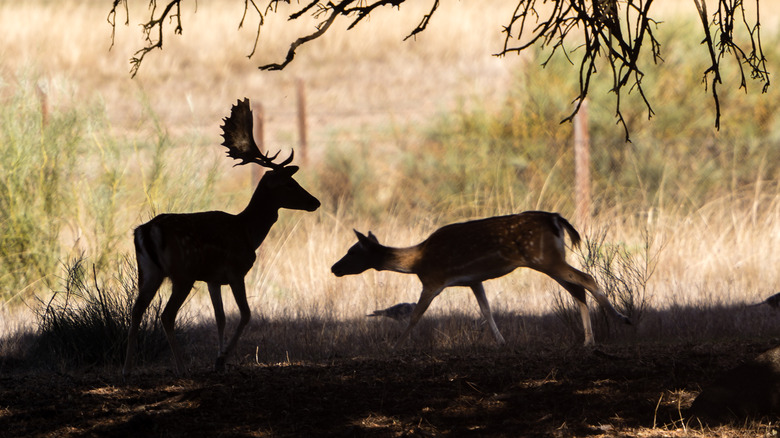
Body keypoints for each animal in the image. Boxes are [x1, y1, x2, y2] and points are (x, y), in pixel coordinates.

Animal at [123, 98, 318, 376]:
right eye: (290, 183)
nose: (315, 202)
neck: (247, 232)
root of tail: (145, 231)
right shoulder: (235, 271)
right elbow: (245, 314)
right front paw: (222, 358)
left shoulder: (213, 279)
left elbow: (221, 317)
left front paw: (219, 360)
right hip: (182, 273)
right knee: (166, 315)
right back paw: (181, 368)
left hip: (149, 272)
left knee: (136, 311)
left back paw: (127, 370)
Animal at [330, 210, 628, 348]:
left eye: (352, 251)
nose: (334, 268)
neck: (417, 260)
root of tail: (556, 219)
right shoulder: (474, 280)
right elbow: (486, 310)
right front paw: (502, 342)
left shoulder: (433, 280)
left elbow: (415, 316)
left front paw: (397, 344)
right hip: (551, 260)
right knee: (578, 290)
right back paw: (588, 341)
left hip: (544, 258)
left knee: (587, 278)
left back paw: (621, 318)